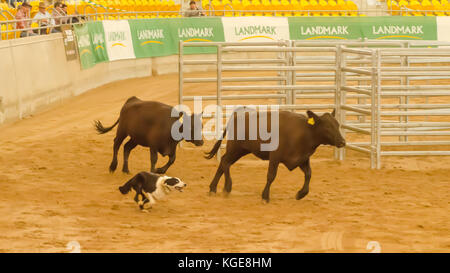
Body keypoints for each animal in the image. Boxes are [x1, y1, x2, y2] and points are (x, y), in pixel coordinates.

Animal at [206, 108, 346, 202]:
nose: (342, 142)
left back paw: (213, 188)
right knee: (225, 162)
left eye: (337, 125)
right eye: (327, 127)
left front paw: (301, 194)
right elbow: (271, 176)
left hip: (240, 150)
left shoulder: (302, 158)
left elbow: (308, 174)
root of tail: (238, 113)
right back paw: (227, 187)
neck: (303, 132)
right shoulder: (275, 157)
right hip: (235, 148)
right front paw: (265, 196)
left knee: (224, 162)